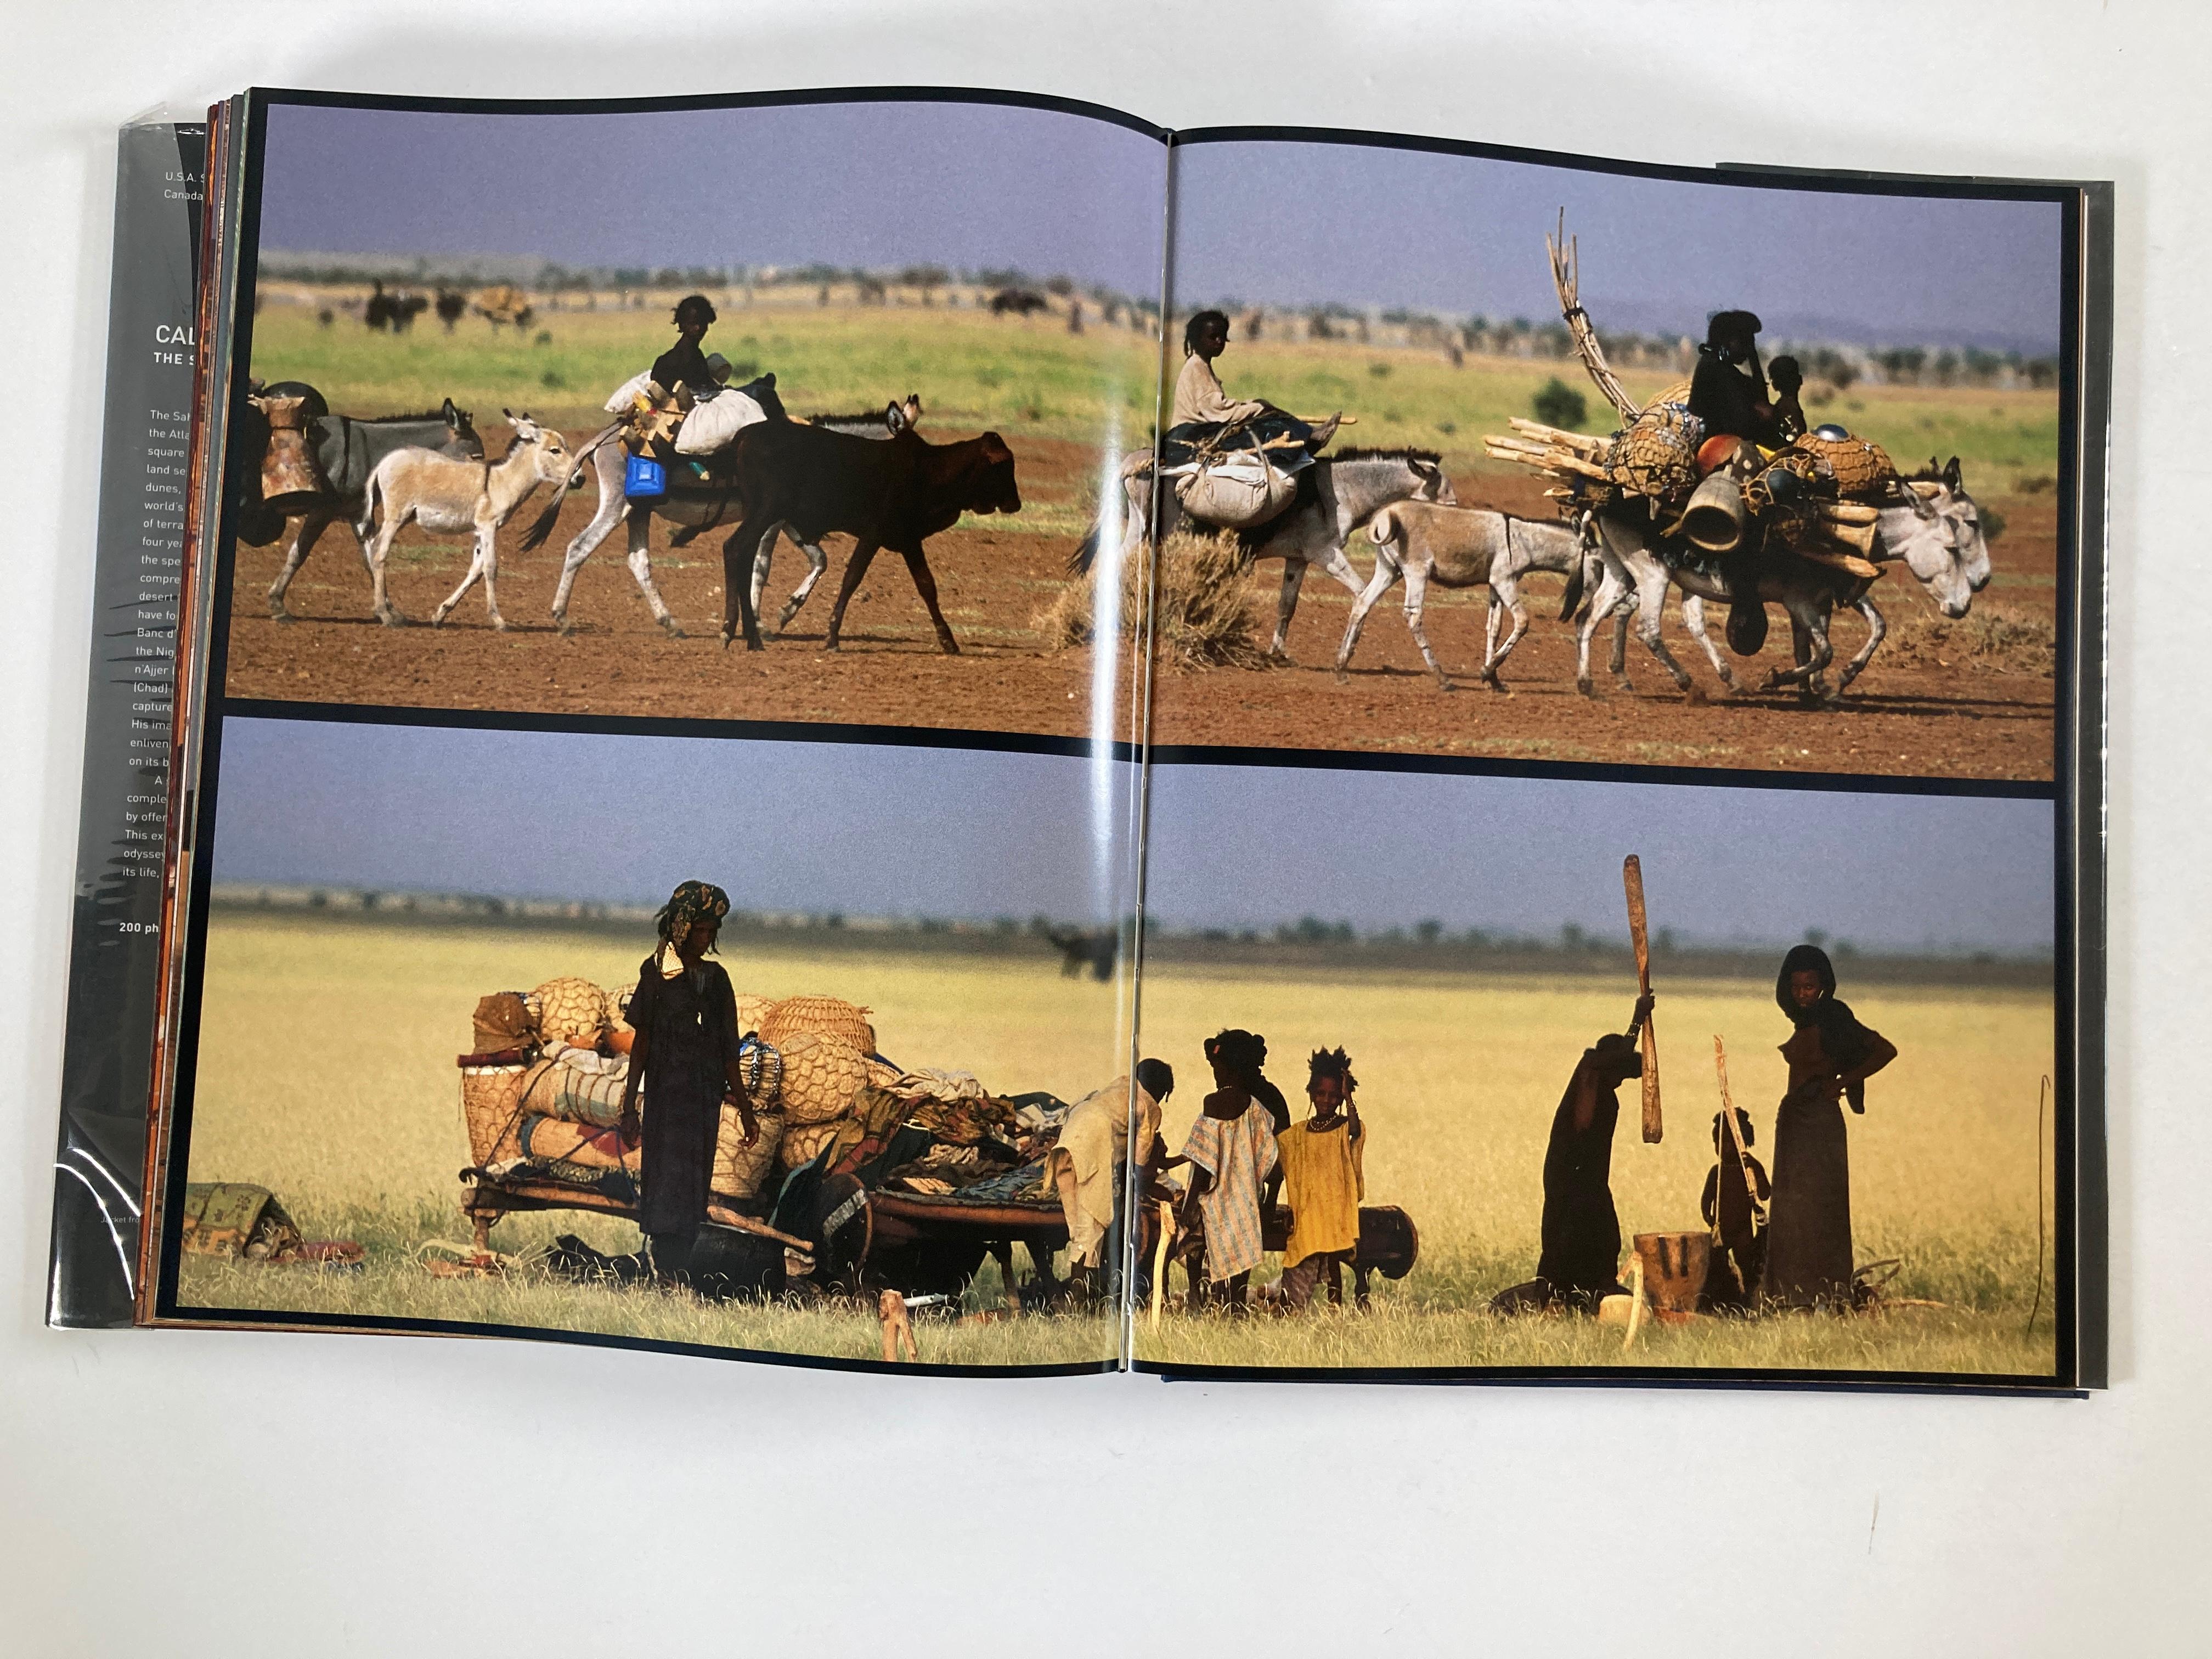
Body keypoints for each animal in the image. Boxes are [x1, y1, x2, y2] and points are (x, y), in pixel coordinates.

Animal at [716, 418, 1017, 654]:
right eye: (1003, 466)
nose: (1016, 504)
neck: (929, 472)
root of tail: (746, 434)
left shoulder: (909, 541)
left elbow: (927, 586)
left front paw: (948, 641)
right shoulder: (873, 535)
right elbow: (852, 580)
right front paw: (832, 637)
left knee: (742, 555)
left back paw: (745, 635)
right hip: (766, 511)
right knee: (735, 549)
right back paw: (741, 634)